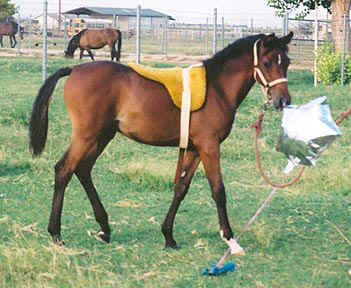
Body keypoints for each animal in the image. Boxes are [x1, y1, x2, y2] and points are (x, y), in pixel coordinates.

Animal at [29, 32, 294, 254]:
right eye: (267, 62)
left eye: (287, 62)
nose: (283, 100)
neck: (217, 88)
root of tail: (74, 70)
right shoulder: (209, 146)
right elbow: (218, 191)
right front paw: (230, 239)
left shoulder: (195, 149)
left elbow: (181, 188)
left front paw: (168, 236)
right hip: (87, 136)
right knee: (64, 170)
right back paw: (56, 233)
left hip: (102, 136)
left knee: (83, 170)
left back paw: (104, 228)